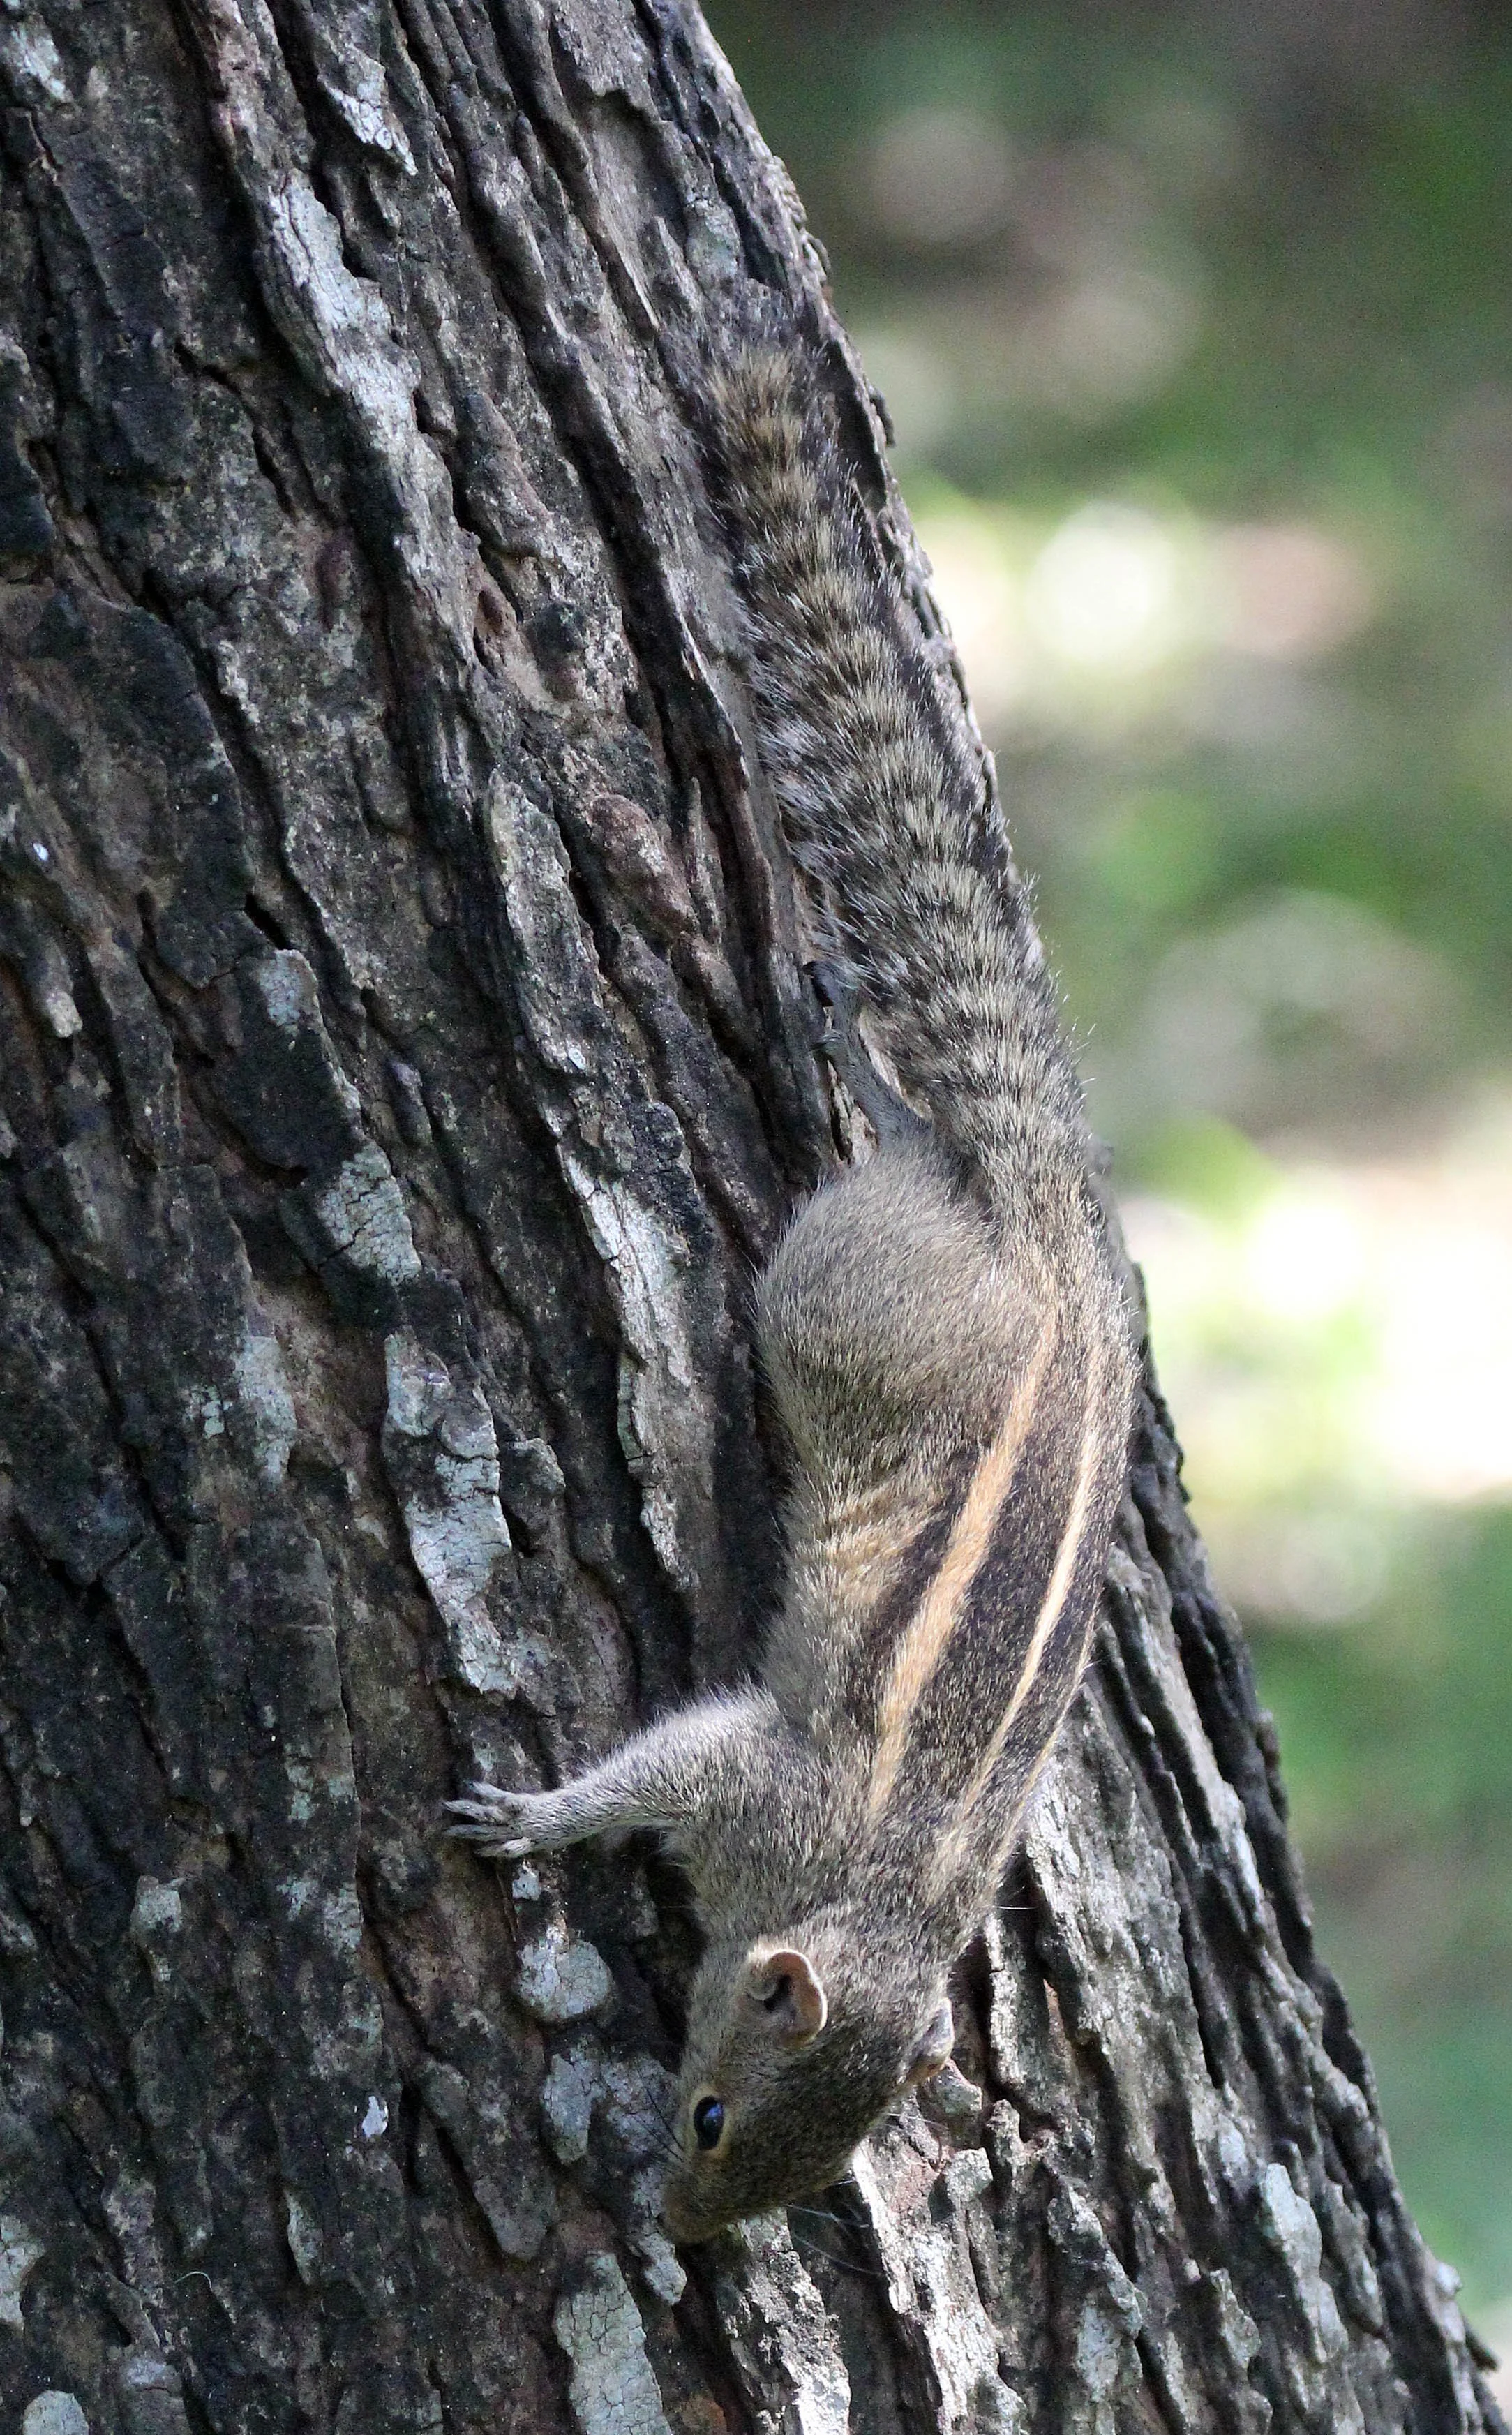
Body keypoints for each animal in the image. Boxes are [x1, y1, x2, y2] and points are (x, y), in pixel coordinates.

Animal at [447, 346, 1137, 2244]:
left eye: (786, 2165)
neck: (866, 1898)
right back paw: (867, 1073)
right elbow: (646, 1769)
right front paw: (538, 1815)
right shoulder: (746, 1776)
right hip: (837, 1298)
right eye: (706, 2115)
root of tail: (1058, 1249)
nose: (679, 2233)